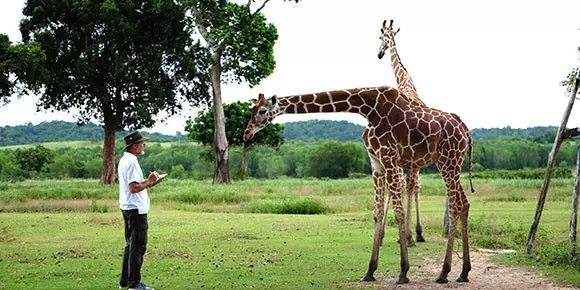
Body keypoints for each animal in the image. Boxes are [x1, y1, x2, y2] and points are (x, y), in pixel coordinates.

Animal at [242, 85, 474, 284]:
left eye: (262, 111)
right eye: (252, 109)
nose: (246, 133)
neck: (367, 109)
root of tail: (466, 132)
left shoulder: (389, 158)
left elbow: (398, 213)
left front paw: (403, 272)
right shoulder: (376, 163)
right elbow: (377, 213)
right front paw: (370, 271)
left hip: (448, 161)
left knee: (455, 206)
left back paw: (444, 273)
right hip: (453, 164)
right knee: (464, 203)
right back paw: (463, 272)